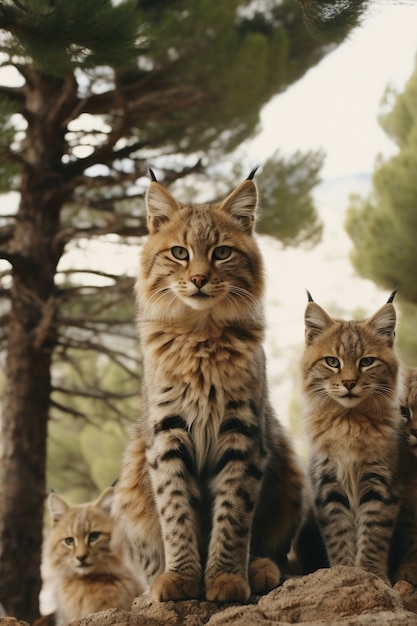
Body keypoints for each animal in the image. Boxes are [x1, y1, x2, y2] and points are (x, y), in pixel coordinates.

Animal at [114, 171, 306, 600]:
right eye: (179, 253)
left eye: (221, 253)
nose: (199, 279)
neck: (200, 333)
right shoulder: (165, 433)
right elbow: (174, 509)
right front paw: (181, 577)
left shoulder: (243, 433)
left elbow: (234, 514)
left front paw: (226, 578)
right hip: (131, 467)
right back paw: (154, 582)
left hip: (286, 457)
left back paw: (261, 569)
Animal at [300, 292, 402, 580]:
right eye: (332, 362)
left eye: (366, 362)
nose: (348, 383)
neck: (348, 420)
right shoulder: (327, 483)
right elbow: (339, 533)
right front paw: (343, 572)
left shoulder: (381, 482)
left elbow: (374, 532)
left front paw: (371, 574)